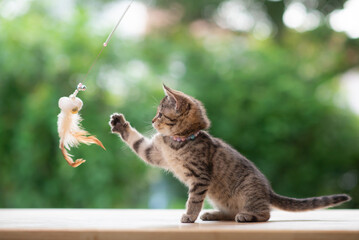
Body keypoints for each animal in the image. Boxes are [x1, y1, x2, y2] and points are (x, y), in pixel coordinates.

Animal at [109, 84, 352, 223]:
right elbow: (137, 142)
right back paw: (215, 214)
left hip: (246, 190)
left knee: (266, 214)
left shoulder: (200, 177)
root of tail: (268, 190)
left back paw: (247, 216)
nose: (152, 121)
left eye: (160, 114)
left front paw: (189, 216)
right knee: (230, 211)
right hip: (219, 196)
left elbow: (194, 199)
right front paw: (120, 124)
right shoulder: (155, 153)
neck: (178, 141)